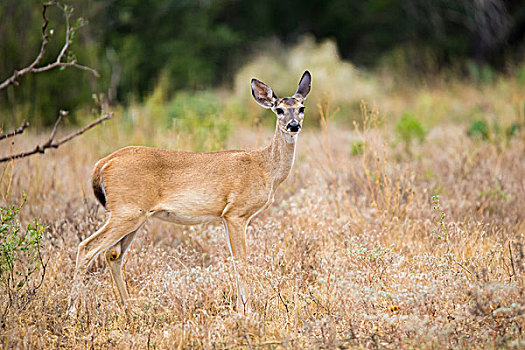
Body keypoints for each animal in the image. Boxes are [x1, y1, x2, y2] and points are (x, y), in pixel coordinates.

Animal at [71, 69, 312, 314]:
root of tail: (103, 164)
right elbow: (241, 262)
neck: (264, 168)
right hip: (125, 212)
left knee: (113, 255)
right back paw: (73, 310)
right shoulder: (236, 213)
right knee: (86, 247)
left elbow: (236, 261)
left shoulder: (225, 217)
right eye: (279, 109)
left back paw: (130, 310)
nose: (293, 125)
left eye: (302, 107)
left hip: (135, 216)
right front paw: (245, 311)